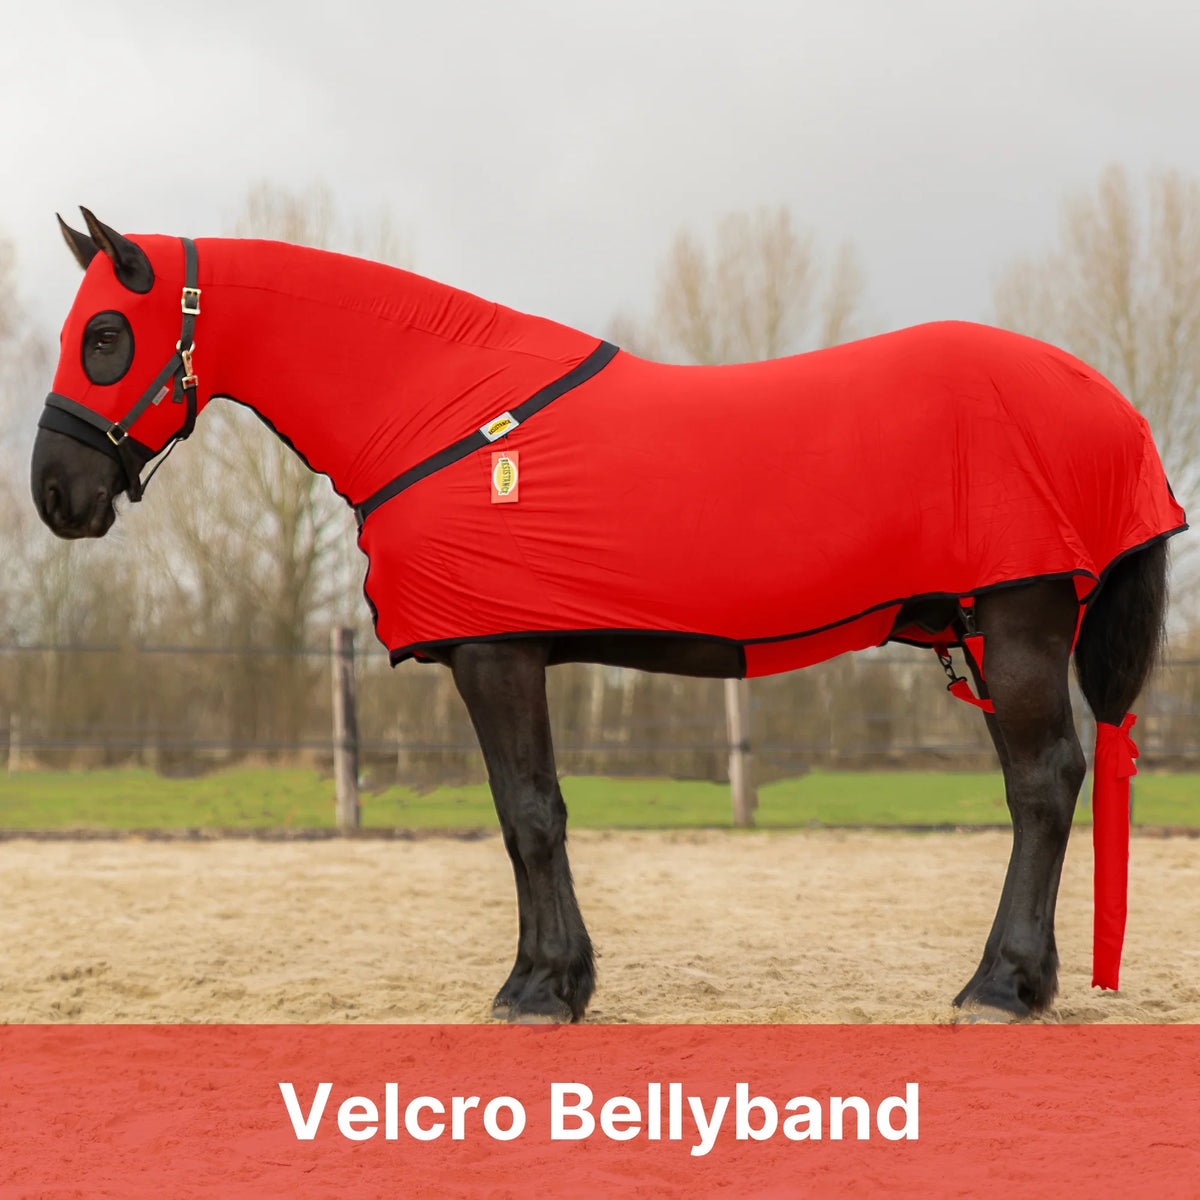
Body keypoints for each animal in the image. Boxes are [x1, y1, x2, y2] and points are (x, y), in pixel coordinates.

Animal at [31, 209, 1185, 1024]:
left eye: (105, 335)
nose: (55, 494)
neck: (447, 406)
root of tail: (1101, 395)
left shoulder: (495, 652)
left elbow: (529, 814)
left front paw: (540, 989)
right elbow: (528, 817)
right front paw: (558, 979)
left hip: (1020, 622)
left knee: (1043, 785)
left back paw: (1000, 988)